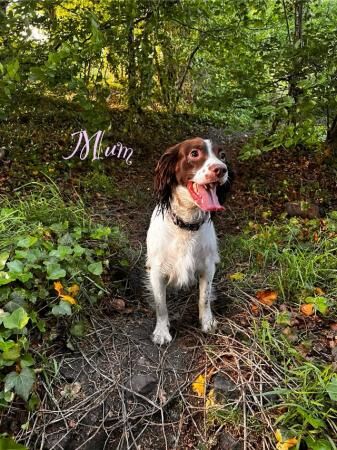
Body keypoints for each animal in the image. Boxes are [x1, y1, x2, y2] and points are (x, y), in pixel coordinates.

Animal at [146, 137, 230, 344]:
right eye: (194, 153)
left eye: (222, 155)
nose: (221, 169)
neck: (186, 225)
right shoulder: (157, 271)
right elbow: (161, 305)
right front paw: (162, 331)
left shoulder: (208, 267)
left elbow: (204, 298)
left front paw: (207, 322)